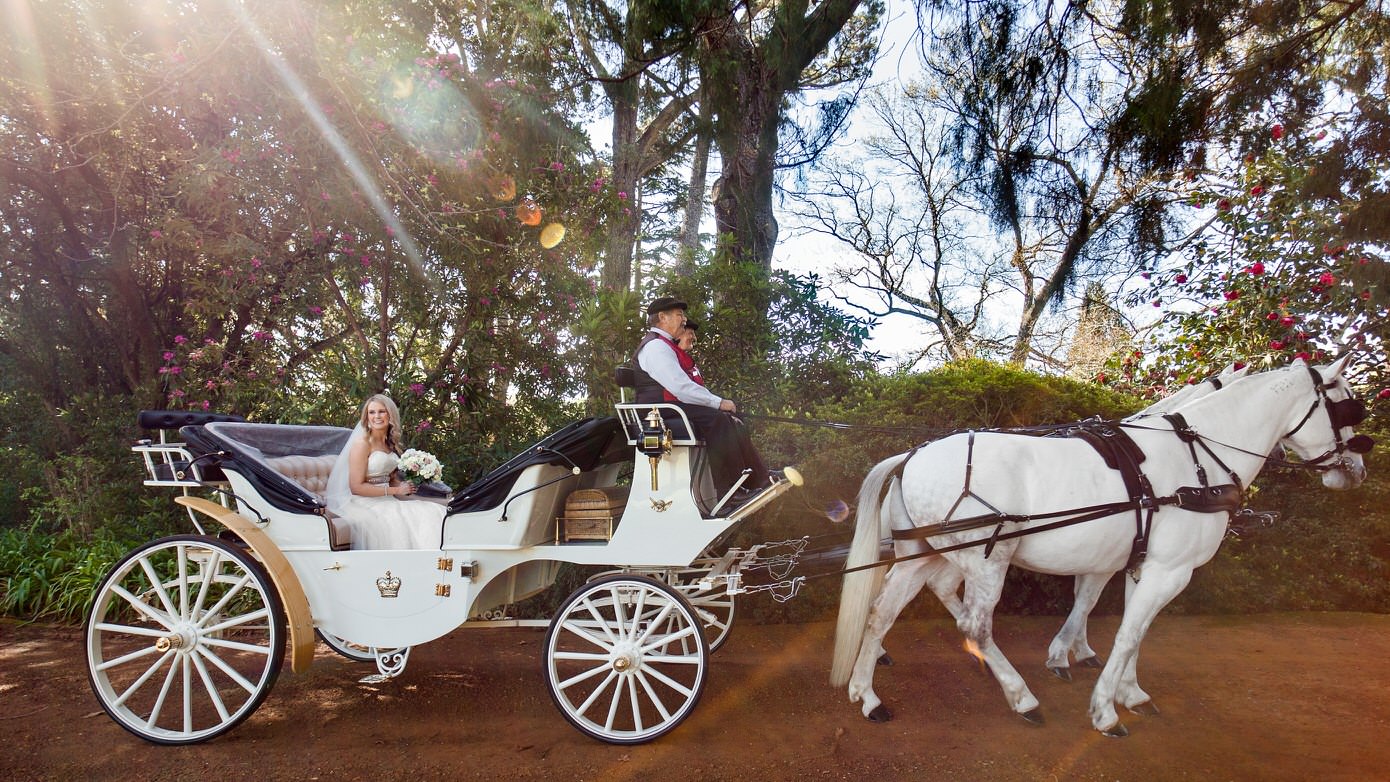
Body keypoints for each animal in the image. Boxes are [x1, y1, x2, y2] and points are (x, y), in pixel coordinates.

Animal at [834, 358, 1367, 738]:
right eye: (1345, 405)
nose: (1359, 467)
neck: (1198, 458)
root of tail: (912, 455)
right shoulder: (1169, 570)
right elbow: (1126, 633)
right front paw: (1105, 709)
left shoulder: (1138, 564)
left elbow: (1126, 624)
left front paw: (1125, 689)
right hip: (985, 558)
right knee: (975, 626)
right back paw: (1022, 698)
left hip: (926, 552)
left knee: (881, 613)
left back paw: (867, 695)